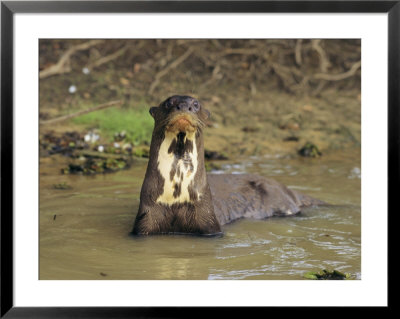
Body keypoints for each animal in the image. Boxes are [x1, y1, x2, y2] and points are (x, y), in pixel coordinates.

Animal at [132, 96, 324, 236]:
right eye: (168, 103)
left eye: (196, 104)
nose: (184, 106)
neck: (176, 196)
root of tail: (286, 188)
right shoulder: (145, 220)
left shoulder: (209, 222)